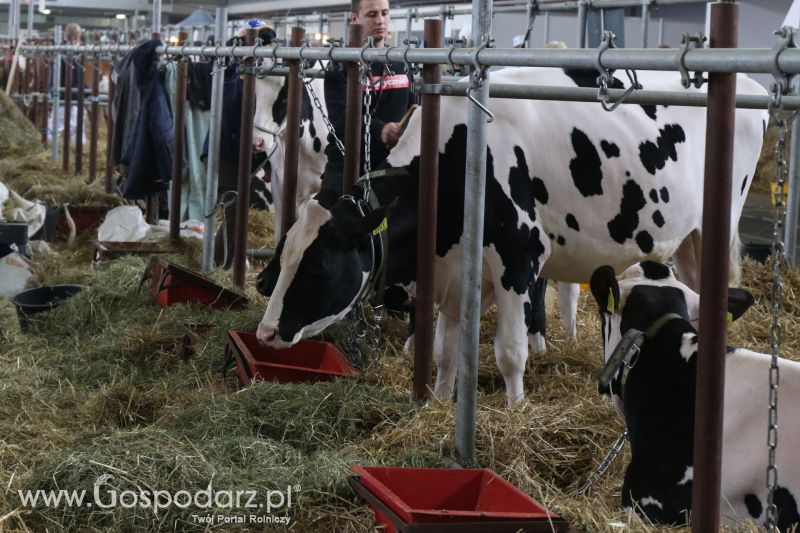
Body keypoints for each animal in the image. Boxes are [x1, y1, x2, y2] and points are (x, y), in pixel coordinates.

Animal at [255, 67, 764, 408]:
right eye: (283, 252)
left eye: (319, 263)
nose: (264, 332)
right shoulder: (453, 271)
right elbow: (445, 353)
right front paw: (440, 402)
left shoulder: (519, 260)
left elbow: (509, 353)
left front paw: (516, 410)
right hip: (684, 242)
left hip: (714, 230)